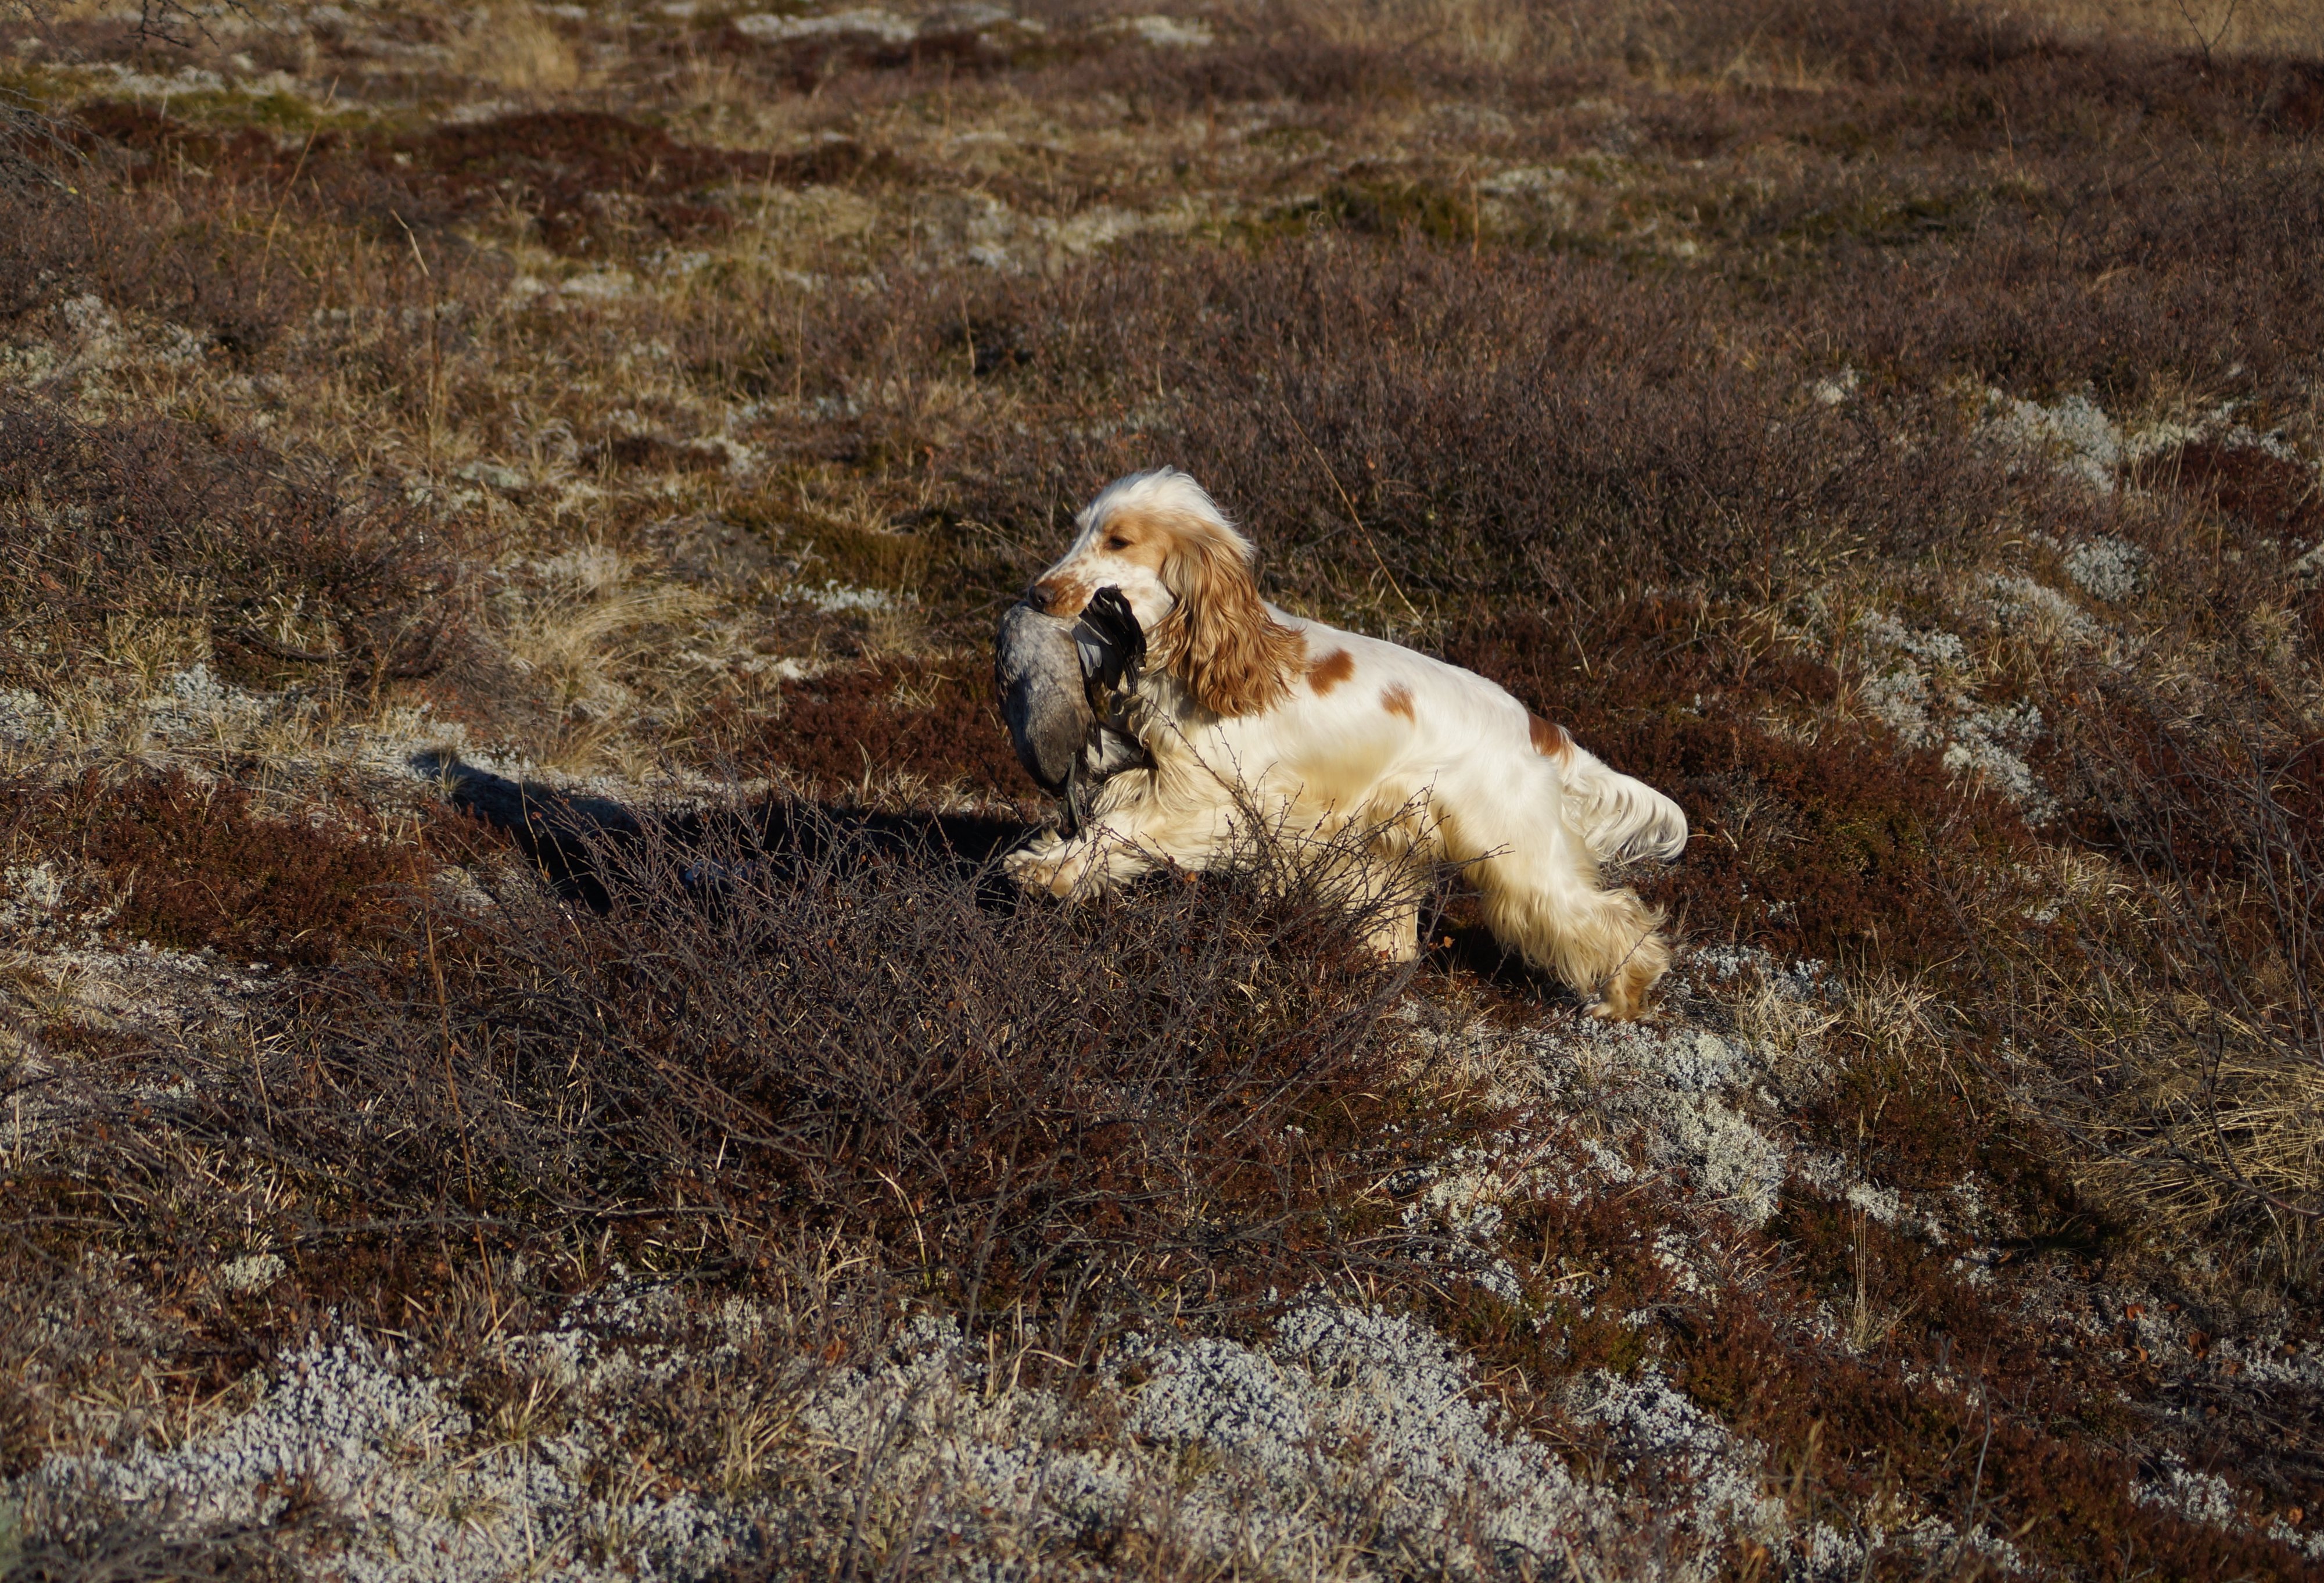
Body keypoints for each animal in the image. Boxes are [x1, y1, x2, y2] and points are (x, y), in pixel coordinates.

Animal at [999, 463, 1692, 1018]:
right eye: (1078, 532)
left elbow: (1120, 831)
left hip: (1517, 857)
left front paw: (1045, 870)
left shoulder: (1210, 802)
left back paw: (1621, 999)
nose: (1036, 593)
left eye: (1118, 541)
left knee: (1605, 916)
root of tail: (1537, 727)